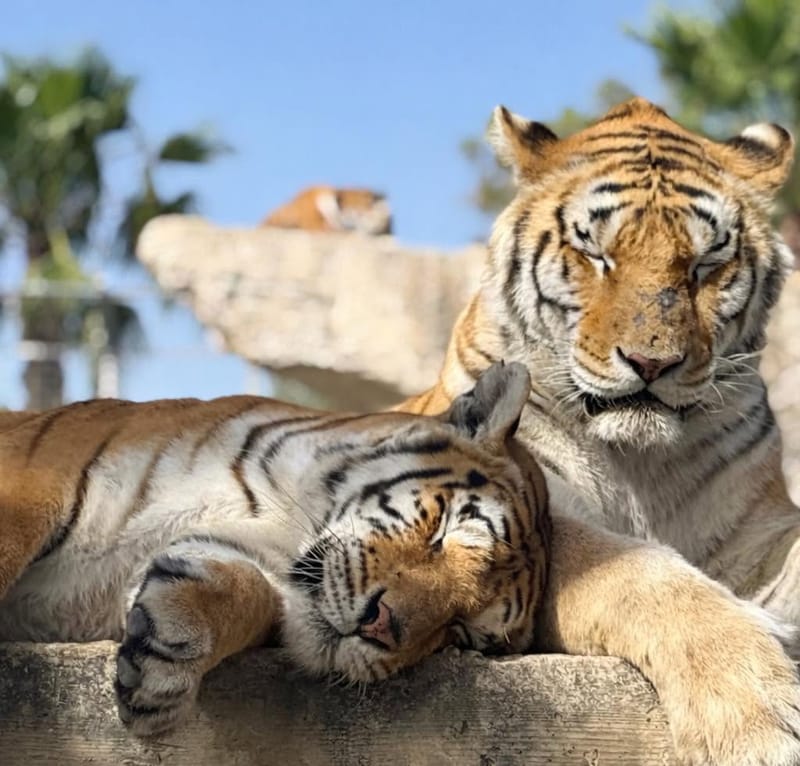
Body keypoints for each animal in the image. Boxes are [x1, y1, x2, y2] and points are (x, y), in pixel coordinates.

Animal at [3, 366, 800, 764]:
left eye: (464, 636)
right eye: (445, 529)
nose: (382, 629)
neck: (278, 518)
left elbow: (241, 592)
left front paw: (164, 663)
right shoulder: (33, 484)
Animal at [398, 98, 800, 764]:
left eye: (706, 265)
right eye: (596, 255)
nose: (652, 363)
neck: (645, 464)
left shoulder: (763, 528)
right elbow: (641, 574)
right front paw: (756, 719)